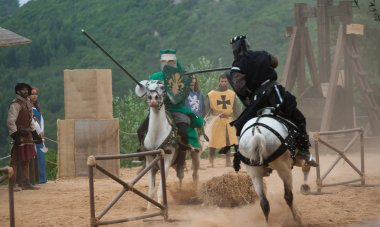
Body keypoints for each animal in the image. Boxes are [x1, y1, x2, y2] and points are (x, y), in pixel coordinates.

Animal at [135, 80, 200, 209]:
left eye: (161, 87)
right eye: (147, 87)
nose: (153, 98)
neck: (156, 135)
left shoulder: (166, 161)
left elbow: (161, 188)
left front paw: (160, 205)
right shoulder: (150, 161)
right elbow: (151, 189)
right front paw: (149, 208)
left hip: (194, 154)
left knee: (194, 175)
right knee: (180, 175)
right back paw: (180, 192)